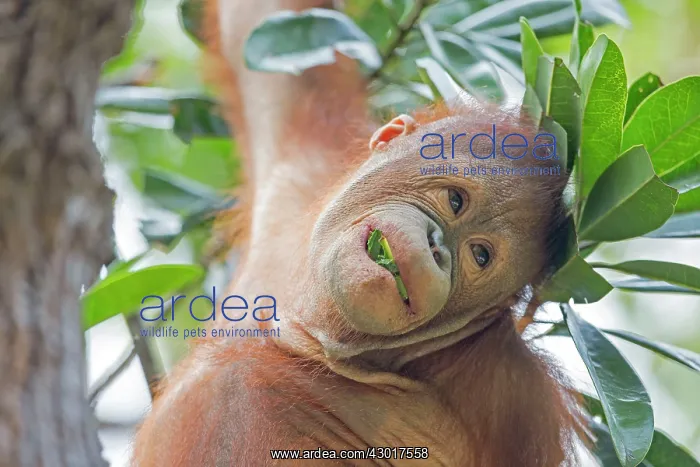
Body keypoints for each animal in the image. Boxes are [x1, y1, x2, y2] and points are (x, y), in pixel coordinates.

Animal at [131, 0, 581, 465]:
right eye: (455, 201)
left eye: (480, 256)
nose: (436, 247)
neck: (313, 334)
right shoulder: (301, 177)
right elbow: (265, 31)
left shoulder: (515, 400)